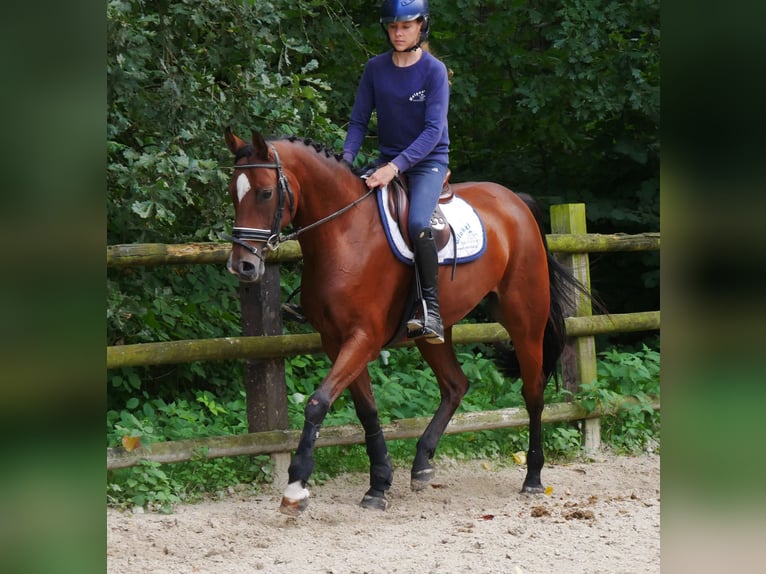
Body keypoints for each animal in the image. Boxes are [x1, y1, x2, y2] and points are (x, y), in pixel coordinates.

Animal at [225, 128, 584, 516]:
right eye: (232, 191)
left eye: (265, 192)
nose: (243, 265)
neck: (346, 234)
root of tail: (515, 201)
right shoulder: (336, 341)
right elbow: (367, 410)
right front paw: (379, 483)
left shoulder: (362, 338)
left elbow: (318, 402)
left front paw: (295, 486)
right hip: (433, 334)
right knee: (456, 385)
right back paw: (423, 464)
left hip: (525, 322)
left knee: (533, 393)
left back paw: (532, 477)